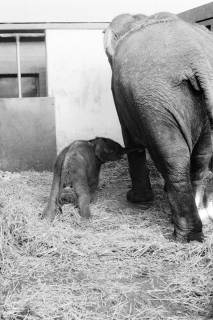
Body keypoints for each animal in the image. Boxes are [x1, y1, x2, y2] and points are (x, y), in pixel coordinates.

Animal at [104, 12, 213, 242]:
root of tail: (198, 58)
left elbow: (131, 140)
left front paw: (136, 199)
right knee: (201, 156)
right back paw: (197, 220)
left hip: (154, 101)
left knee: (173, 156)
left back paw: (185, 235)